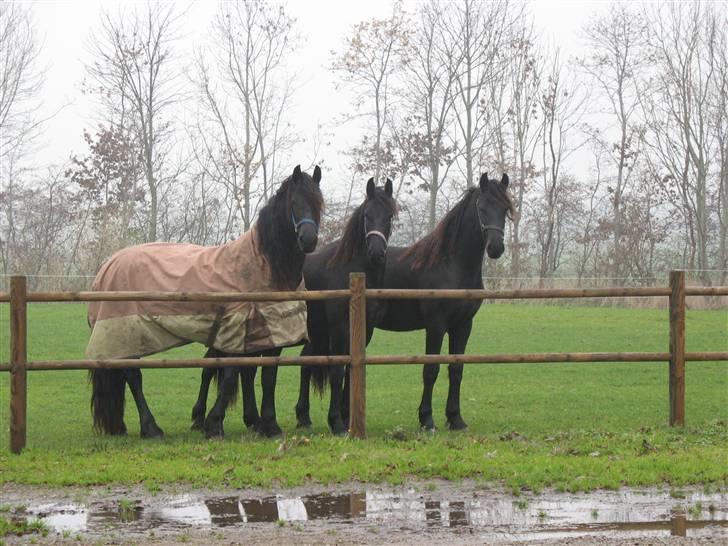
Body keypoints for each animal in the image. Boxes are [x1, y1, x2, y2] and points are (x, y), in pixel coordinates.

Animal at [193, 176, 396, 436]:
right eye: (367, 216)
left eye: (389, 216)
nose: (376, 252)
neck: (352, 269)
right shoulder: (339, 329)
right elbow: (337, 371)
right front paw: (337, 421)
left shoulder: (365, 330)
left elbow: (352, 368)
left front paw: (346, 416)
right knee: (212, 367)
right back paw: (201, 418)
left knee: (248, 370)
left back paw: (257, 420)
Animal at [294, 173, 512, 430]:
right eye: (482, 208)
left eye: (505, 209)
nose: (496, 247)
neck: (451, 265)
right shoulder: (436, 325)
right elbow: (431, 369)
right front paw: (427, 419)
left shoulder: (463, 326)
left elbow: (456, 368)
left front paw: (455, 418)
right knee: (308, 361)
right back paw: (306, 417)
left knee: (309, 360)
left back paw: (308, 417)